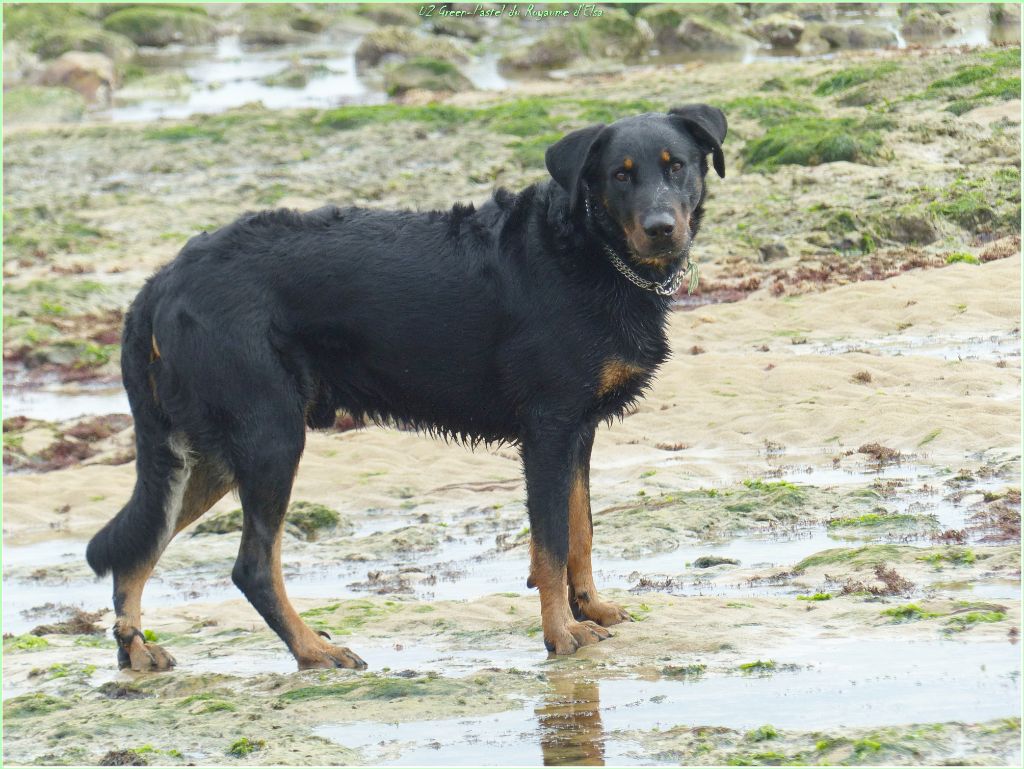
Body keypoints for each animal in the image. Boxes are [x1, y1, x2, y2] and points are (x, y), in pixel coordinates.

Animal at [86, 104, 727, 671]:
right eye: (620, 175)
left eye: (676, 166)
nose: (661, 229)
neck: (591, 248)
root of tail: (161, 281)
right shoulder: (548, 431)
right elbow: (549, 547)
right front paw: (559, 633)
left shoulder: (578, 433)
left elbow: (580, 533)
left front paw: (590, 609)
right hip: (270, 439)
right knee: (252, 567)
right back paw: (313, 650)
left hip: (207, 454)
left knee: (140, 544)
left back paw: (135, 647)